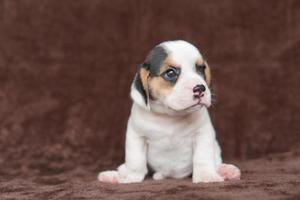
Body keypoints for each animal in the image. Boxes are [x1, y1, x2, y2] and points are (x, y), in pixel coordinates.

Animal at [97, 39, 240, 184]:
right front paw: (131, 177)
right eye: (170, 73)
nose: (200, 88)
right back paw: (114, 175)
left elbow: (203, 157)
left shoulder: (202, 133)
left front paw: (206, 176)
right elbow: (135, 161)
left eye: (201, 68)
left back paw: (227, 171)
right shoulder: (136, 135)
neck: (170, 116)